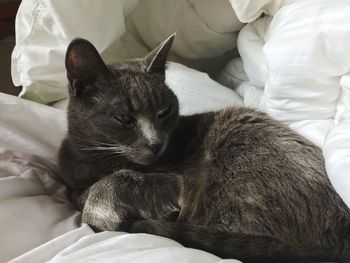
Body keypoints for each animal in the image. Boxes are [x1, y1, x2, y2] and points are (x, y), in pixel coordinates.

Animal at [58, 35, 350, 263]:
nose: (156, 142)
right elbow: (80, 193)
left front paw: (103, 210)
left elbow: (111, 184)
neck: (93, 159)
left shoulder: (175, 181)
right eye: (124, 118)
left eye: (164, 110)